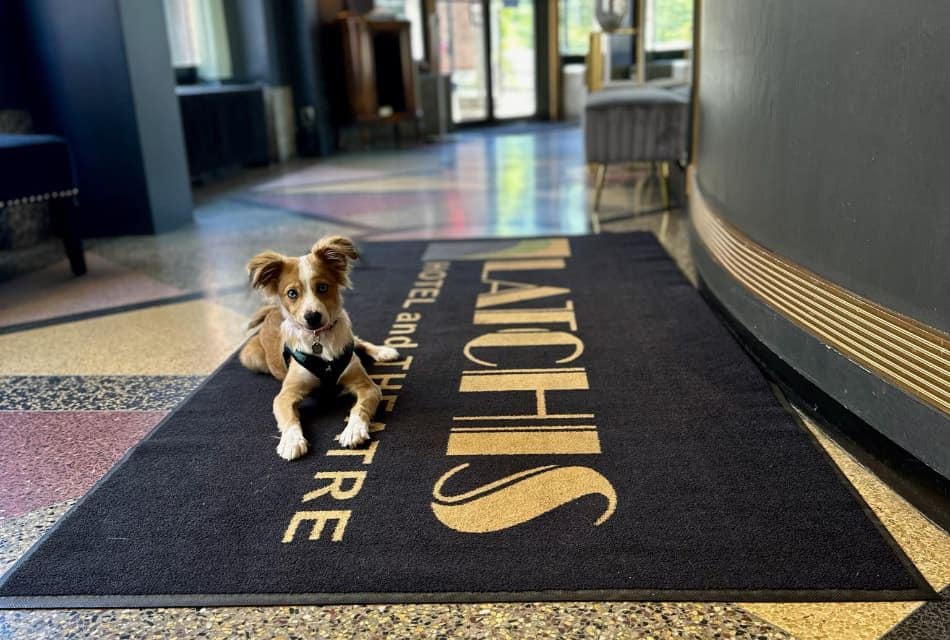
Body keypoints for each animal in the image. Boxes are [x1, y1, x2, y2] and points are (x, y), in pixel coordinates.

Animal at [242, 235, 402, 460]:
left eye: (323, 288)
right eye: (292, 293)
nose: (312, 317)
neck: (320, 340)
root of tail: (271, 311)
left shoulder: (367, 387)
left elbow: (358, 408)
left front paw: (353, 430)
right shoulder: (285, 395)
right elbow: (289, 418)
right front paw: (291, 442)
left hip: (349, 338)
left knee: (360, 342)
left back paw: (384, 351)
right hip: (251, 357)